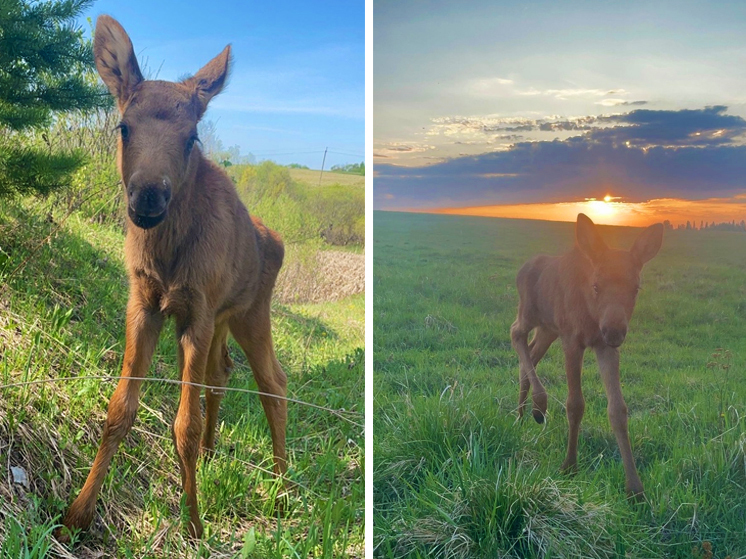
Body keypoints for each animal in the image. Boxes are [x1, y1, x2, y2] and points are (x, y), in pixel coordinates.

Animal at [508, 213, 660, 498]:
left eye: (636, 288)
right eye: (596, 285)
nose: (614, 330)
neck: (592, 317)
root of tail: (522, 268)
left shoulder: (604, 346)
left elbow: (618, 409)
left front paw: (635, 487)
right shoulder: (572, 339)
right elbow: (575, 404)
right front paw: (569, 465)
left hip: (548, 328)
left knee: (531, 353)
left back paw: (523, 412)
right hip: (530, 311)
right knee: (515, 333)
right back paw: (538, 404)